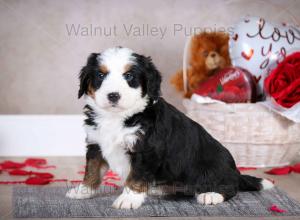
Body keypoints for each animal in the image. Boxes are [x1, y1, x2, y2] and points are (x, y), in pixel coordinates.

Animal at [67, 47, 274, 209]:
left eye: (129, 76)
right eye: (100, 75)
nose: (113, 95)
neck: (117, 117)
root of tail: (235, 172)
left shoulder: (146, 150)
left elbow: (136, 176)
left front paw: (128, 199)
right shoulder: (96, 144)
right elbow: (92, 170)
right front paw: (83, 190)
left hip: (213, 167)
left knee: (230, 188)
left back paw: (211, 195)